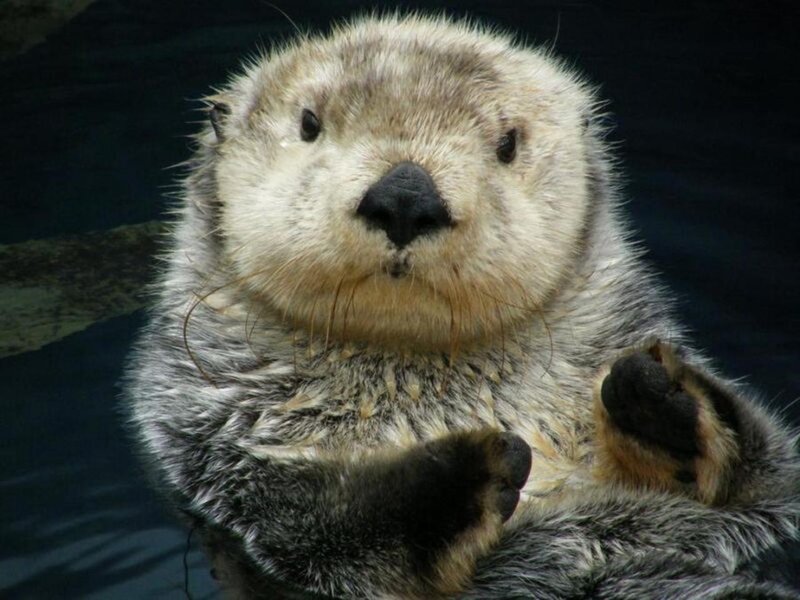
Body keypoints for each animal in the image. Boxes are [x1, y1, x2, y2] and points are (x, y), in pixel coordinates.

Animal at [126, 15, 800, 599]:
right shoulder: (218, 449)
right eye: (310, 123)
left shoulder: (759, 506)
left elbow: (766, 481)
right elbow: (322, 529)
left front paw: (656, 393)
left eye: (508, 143)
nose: (405, 195)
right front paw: (472, 469)